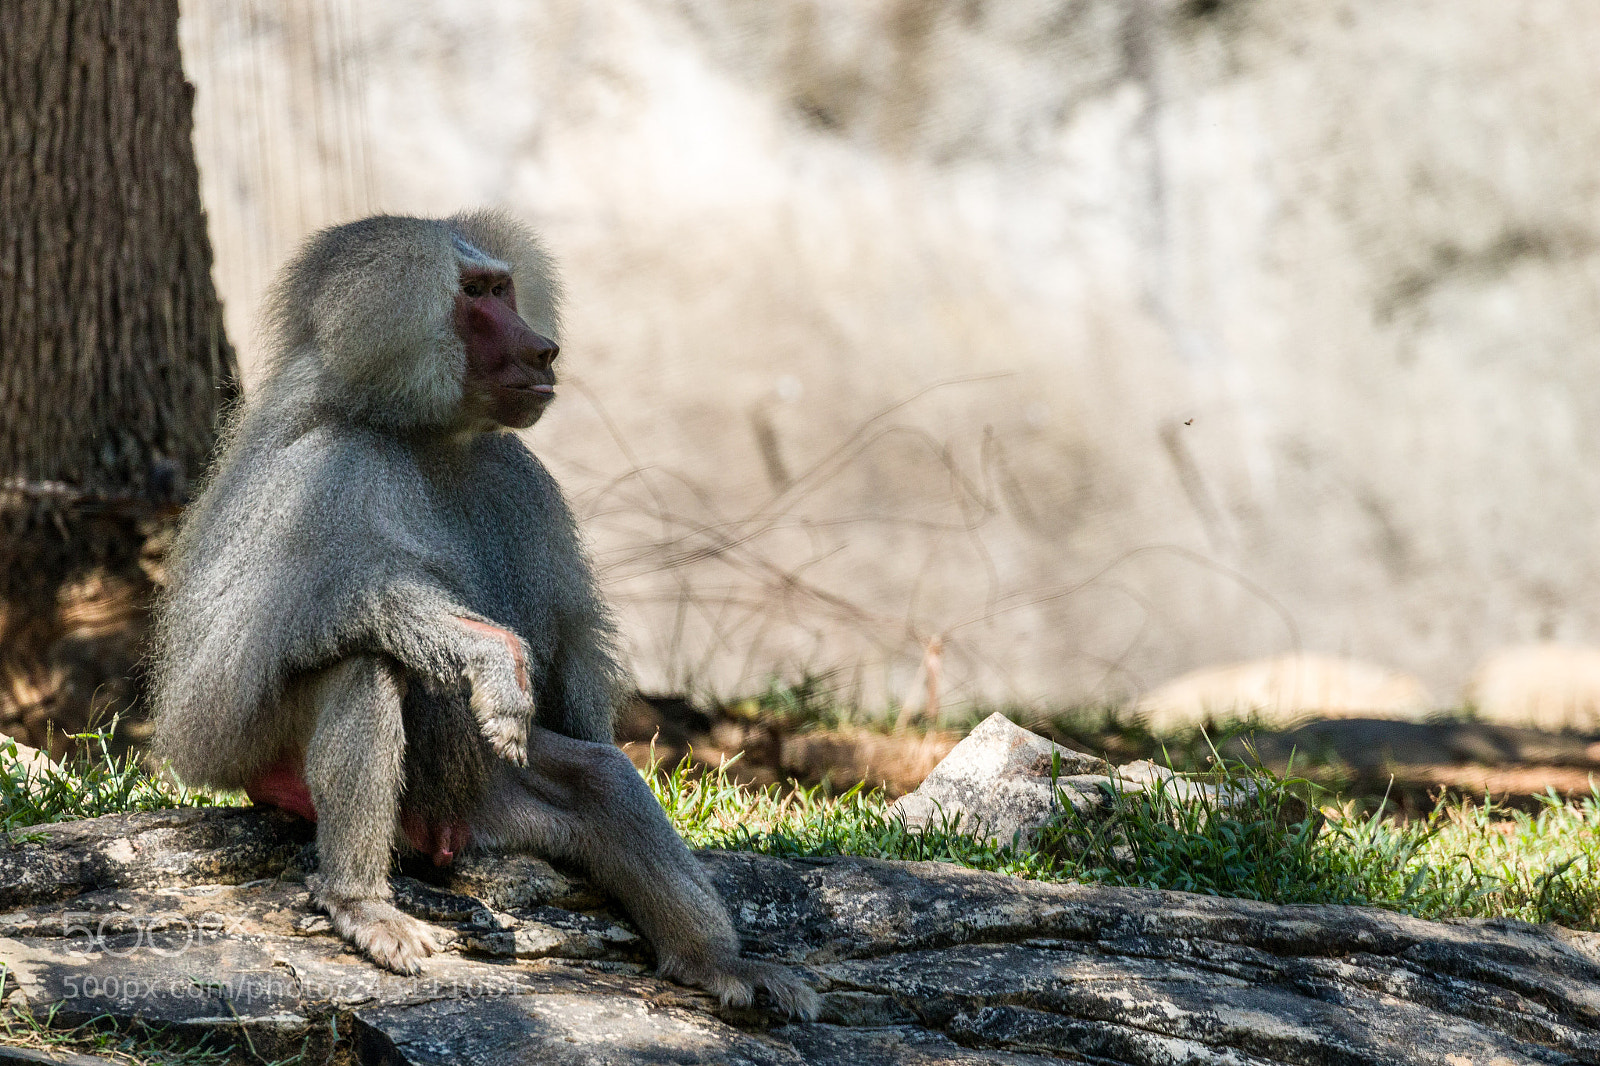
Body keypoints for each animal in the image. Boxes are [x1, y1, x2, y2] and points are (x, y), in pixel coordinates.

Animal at [148, 211, 818, 1018]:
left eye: (504, 289)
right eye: (474, 296)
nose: (545, 348)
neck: (426, 435)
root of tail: (440, 835)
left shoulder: (520, 483)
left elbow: (570, 683)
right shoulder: (318, 471)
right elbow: (297, 616)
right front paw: (493, 661)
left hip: (497, 807)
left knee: (603, 781)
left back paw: (718, 962)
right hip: (270, 763)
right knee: (363, 665)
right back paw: (361, 904)